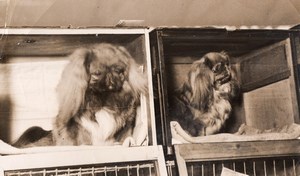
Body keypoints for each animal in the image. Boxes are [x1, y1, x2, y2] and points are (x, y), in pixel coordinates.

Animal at [14, 43, 148, 148]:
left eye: (118, 71)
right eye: (97, 73)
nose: (110, 80)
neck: (103, 99)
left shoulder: (126, 124)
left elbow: (124, 136)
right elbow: (81, 138)